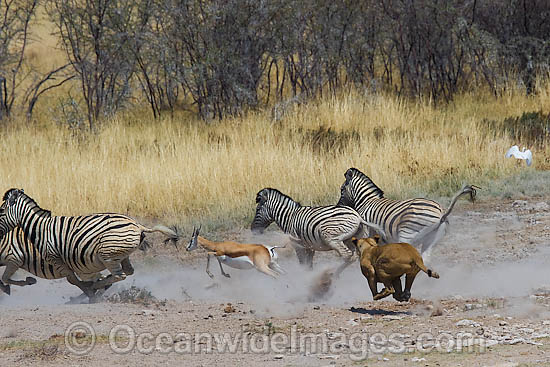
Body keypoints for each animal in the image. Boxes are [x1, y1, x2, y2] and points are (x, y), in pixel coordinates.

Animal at [0, 190, 179, 302]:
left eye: (1, 212)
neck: (39, 229)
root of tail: (137, 225)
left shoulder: (53, 259)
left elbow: (73, 280)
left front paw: (89, 293)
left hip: (107, 256)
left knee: (119, 275)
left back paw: (95, 286)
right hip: (120, 256)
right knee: (127, 272)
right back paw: (99, 285)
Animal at [251, 188, 384, 272]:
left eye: (257, 210)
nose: (252, 230)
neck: (289, 217)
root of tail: (358, 217)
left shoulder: (298, 244)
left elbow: (302, 263)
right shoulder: (309, 247)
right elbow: (308, 265)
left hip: (331, 237)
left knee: (347, 256)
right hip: (353, 239)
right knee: (356, 256)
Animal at [336, 168, 478, 260]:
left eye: (342, 189)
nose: (338, 206)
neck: (367, 201)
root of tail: (441, 213)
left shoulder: (366, 231)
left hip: (407, 234)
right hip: (430, 240)